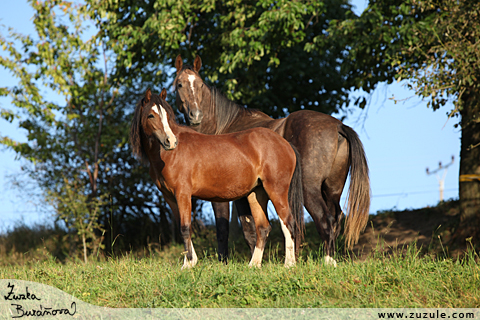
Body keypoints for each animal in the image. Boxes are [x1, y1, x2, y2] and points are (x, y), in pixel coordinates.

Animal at [130, 89, 304, 268]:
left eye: (167, 115)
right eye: (151, 115)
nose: (170, 141)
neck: (168, 155)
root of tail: (286, 144)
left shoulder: (183, 194)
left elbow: (185, 228)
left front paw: (189, 263)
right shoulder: (170, 197)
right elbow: (181, 228)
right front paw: (189, 261)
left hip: (276, 190)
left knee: (288, 222)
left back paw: (289, 264)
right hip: (257, 193)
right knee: (263, 227)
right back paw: (253, 265)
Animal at [173, 55, 372, 264]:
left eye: (200, 85)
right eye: (179, 84)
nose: (196, 115)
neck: (222, 126)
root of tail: (338, 126)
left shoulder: (227, 196)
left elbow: (232, 229)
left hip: (309, 190)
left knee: (324, 221)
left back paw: (326, 261)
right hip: (332, 190)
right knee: (335, 219)